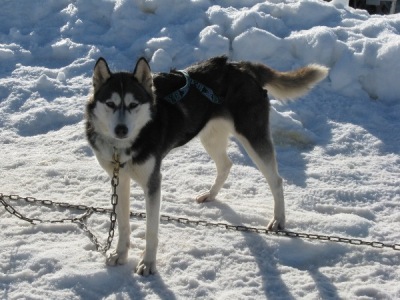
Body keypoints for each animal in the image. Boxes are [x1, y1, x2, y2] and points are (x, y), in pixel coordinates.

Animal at [85, 55, 328, 276]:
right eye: (110, 104)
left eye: (133, 104)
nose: (121, 129)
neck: (122, 147)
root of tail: (240, 65)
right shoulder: (120, 179)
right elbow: (123, 224)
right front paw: (120, 254)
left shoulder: (153, 182)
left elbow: (151, 231)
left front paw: (148, 263)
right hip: (210, 138)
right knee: (226, 164)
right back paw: (211, 194)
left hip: (253, 138)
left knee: (276, 180)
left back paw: (278, 220)